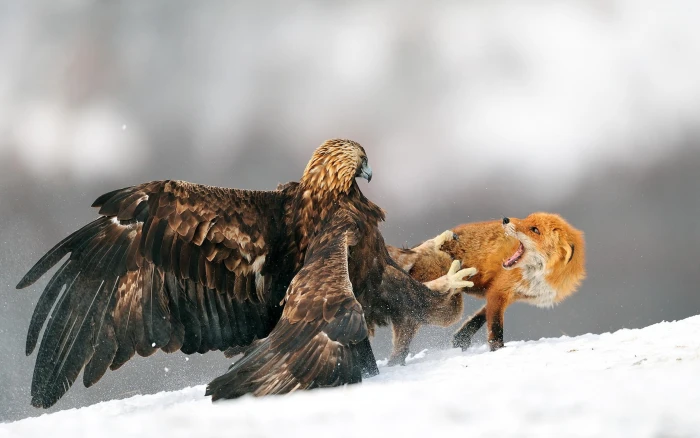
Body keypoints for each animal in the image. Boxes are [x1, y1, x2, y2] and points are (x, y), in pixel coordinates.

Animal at [386, 212, 586, 365]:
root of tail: (413, 251)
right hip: (450, 309)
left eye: (535, 229)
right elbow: (495, 327)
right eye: (526, 219)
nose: (505, 219)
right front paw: (498, 351)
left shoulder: (506, 293)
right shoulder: (499, 291)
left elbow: (478, 318)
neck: (539, 276)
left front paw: (461, 339)